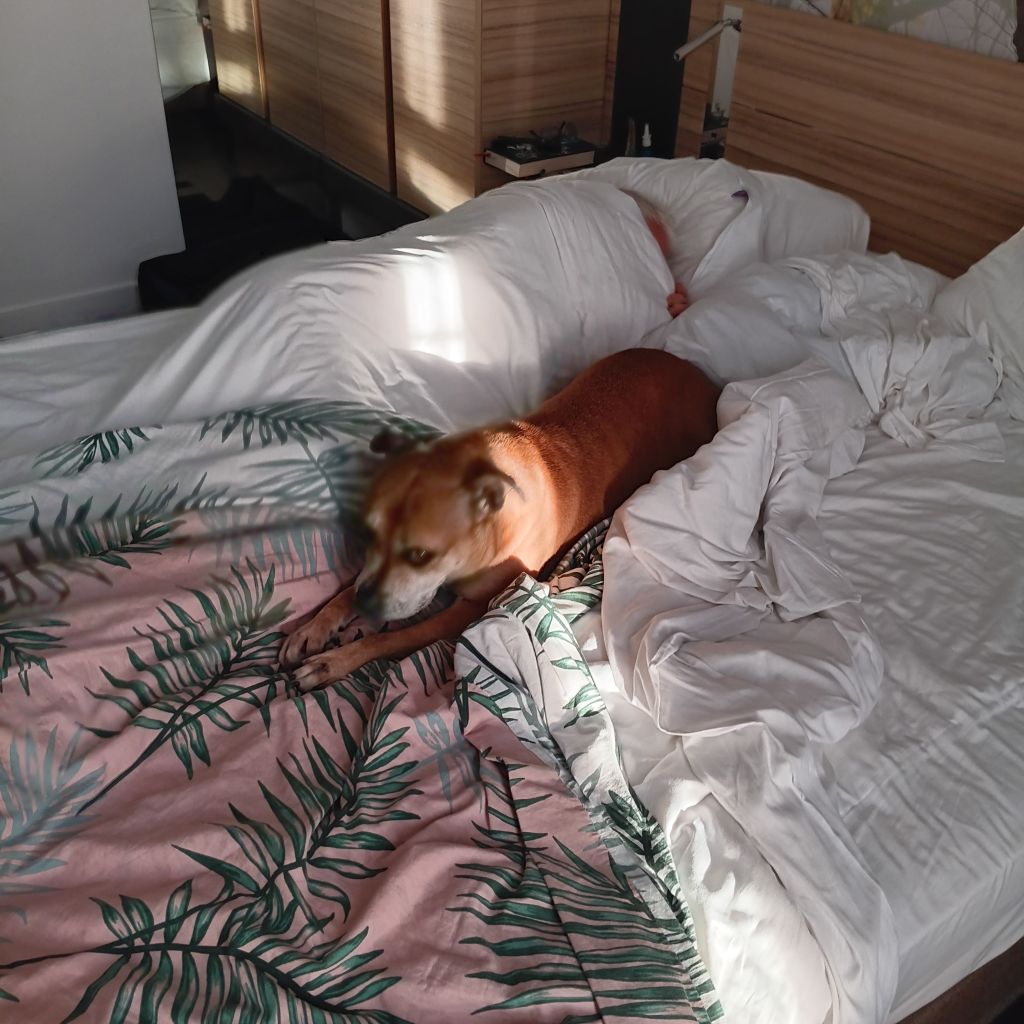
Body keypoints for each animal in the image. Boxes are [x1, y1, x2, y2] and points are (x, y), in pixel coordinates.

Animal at [280, 348, 721, 690]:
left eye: (420, 555)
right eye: (367, 535)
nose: (366, 601)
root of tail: (704, 381)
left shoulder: (466, 612)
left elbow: (389, 640)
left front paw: (333, 662)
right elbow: (346, 589)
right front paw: (314, 628)